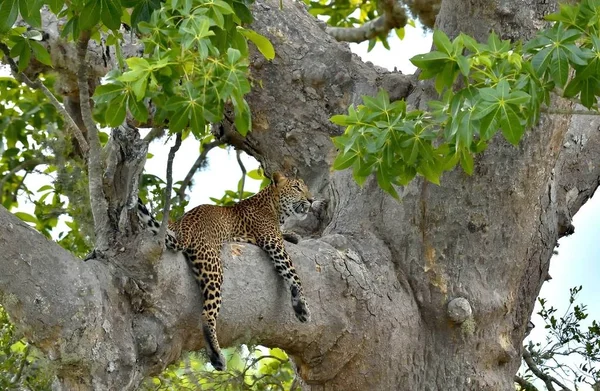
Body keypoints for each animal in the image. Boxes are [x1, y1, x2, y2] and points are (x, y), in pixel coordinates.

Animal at [137, 172, 314, 370]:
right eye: (297, 188)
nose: (312, 200)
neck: (273, 206)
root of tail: (185, 224)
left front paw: (293, 235)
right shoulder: (273, 243)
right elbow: (294, 275)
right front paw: (302, 308)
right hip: (213, 267)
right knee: (207, 315)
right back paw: (216, 356)